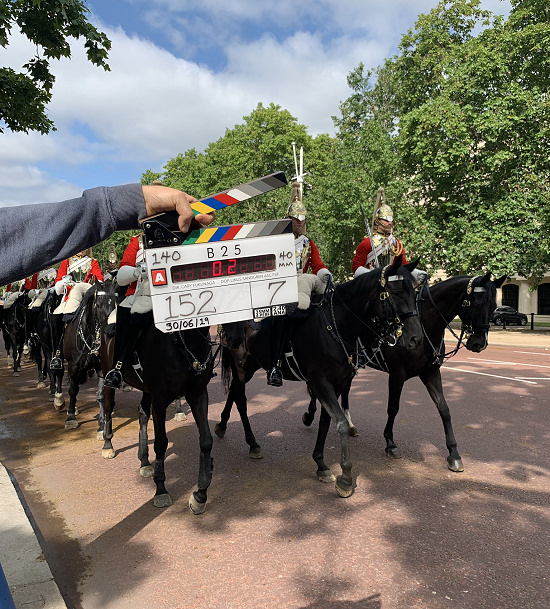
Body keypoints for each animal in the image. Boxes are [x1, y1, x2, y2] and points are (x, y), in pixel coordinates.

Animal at [62, 282, 117, 430]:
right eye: (98, 305)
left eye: (115, 304)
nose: (110, 330)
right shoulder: (73, 366)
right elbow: (73, 390)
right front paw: (70, 417)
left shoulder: (101, 366)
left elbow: (101, 395)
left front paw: (102, 422)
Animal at [101, 314, 216, 512]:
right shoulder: (160, 399)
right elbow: (161, 442)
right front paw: (161, 489)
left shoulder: (198, 394)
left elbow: (206, 440)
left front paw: (200, 495)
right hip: (108, 378)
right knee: (108, 407)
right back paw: (108, 445)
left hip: (147, 390)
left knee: (142, 413)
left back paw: (145, 461)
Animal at [218, 258, 424, 498]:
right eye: (395, 291)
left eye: (414, 292)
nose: (416, 339)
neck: (336, 326)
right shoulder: (320, 382)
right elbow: (341, 424)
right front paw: (345, 478)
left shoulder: (337, 383)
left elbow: (327, 422)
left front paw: (321, 465)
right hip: (242, 366)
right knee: (241, 400)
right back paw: (252, 443)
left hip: (249, 366)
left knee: (233, 392)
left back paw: (222, 426)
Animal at [304, 274, 506, 472]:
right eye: (477, 303)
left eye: (493, 306)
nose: (479, 343)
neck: (424, 325)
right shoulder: (397, 375)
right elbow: (393, 408)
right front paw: (390, 443)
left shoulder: (431, 374)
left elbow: (444, 409)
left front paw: (454, 454)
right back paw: (309, 415)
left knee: (344, 391)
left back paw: (350, 424)